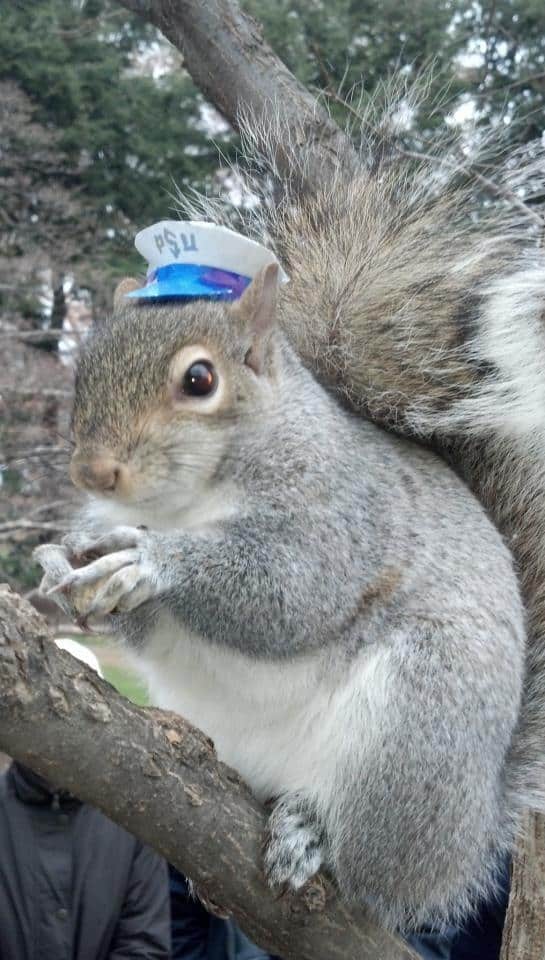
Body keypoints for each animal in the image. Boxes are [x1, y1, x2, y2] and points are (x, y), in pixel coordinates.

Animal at [35, 114, 545, 931]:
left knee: (372, 862)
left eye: (200, 379)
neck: (189, 500)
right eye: (83, 368)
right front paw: (64, 565)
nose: (93, 474)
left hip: (416, 725)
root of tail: (468, 839)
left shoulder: (343, 515)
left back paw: (312, 830)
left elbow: (292, 593)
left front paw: (151, 561)